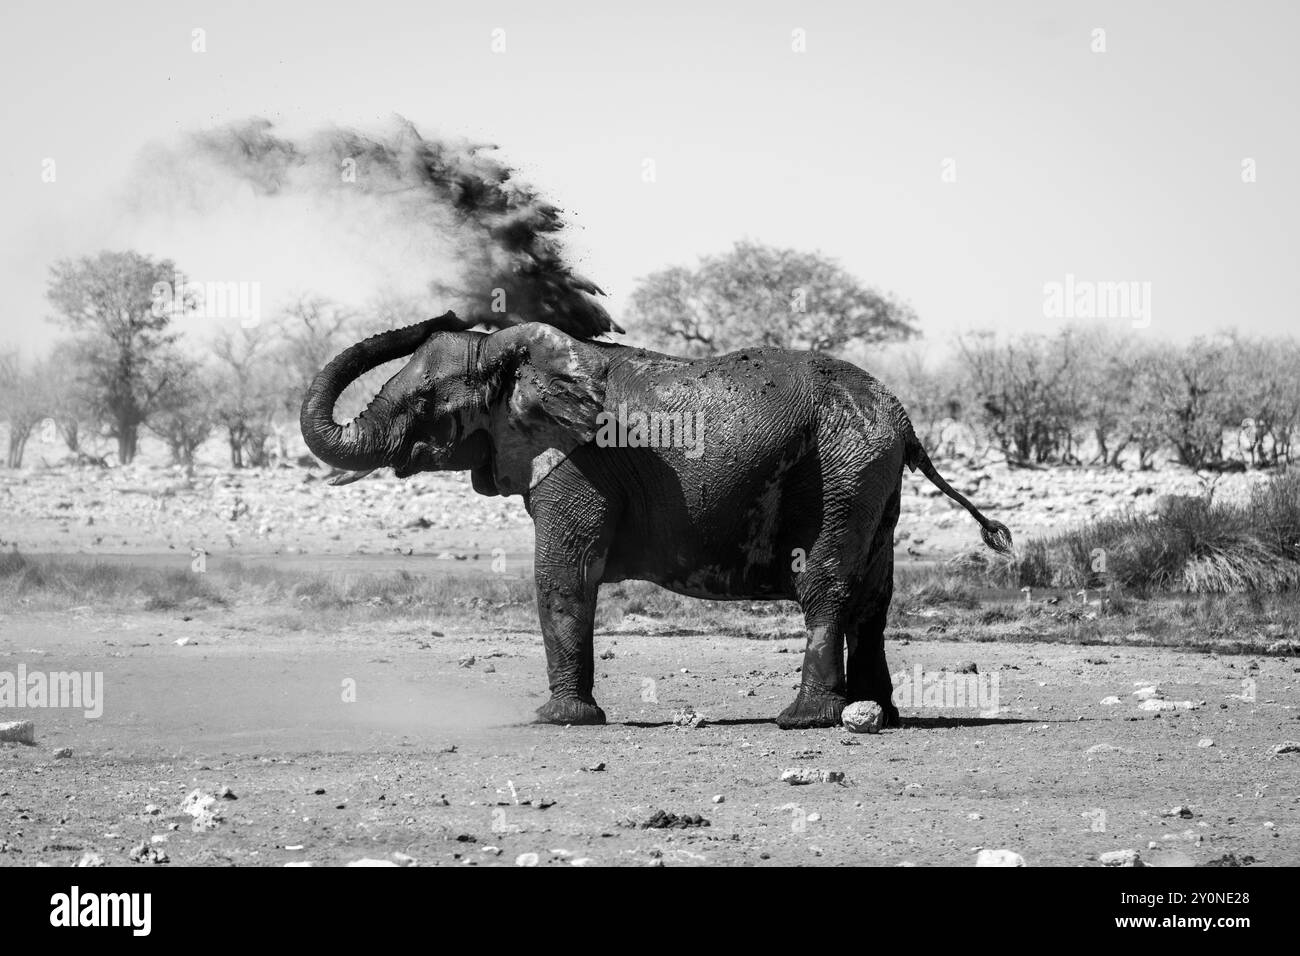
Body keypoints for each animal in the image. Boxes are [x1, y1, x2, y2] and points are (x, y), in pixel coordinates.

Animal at [304, 310, 1013, 728]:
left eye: (426, 399)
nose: (449, 310)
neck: (521, 359)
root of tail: (902, 416)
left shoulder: (581, 460)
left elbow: (562, 574)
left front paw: (558, 721)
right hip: (871, 478)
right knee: (873, 596)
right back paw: (876, 714)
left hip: (843, 468)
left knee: (826, 586)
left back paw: (802, 719)